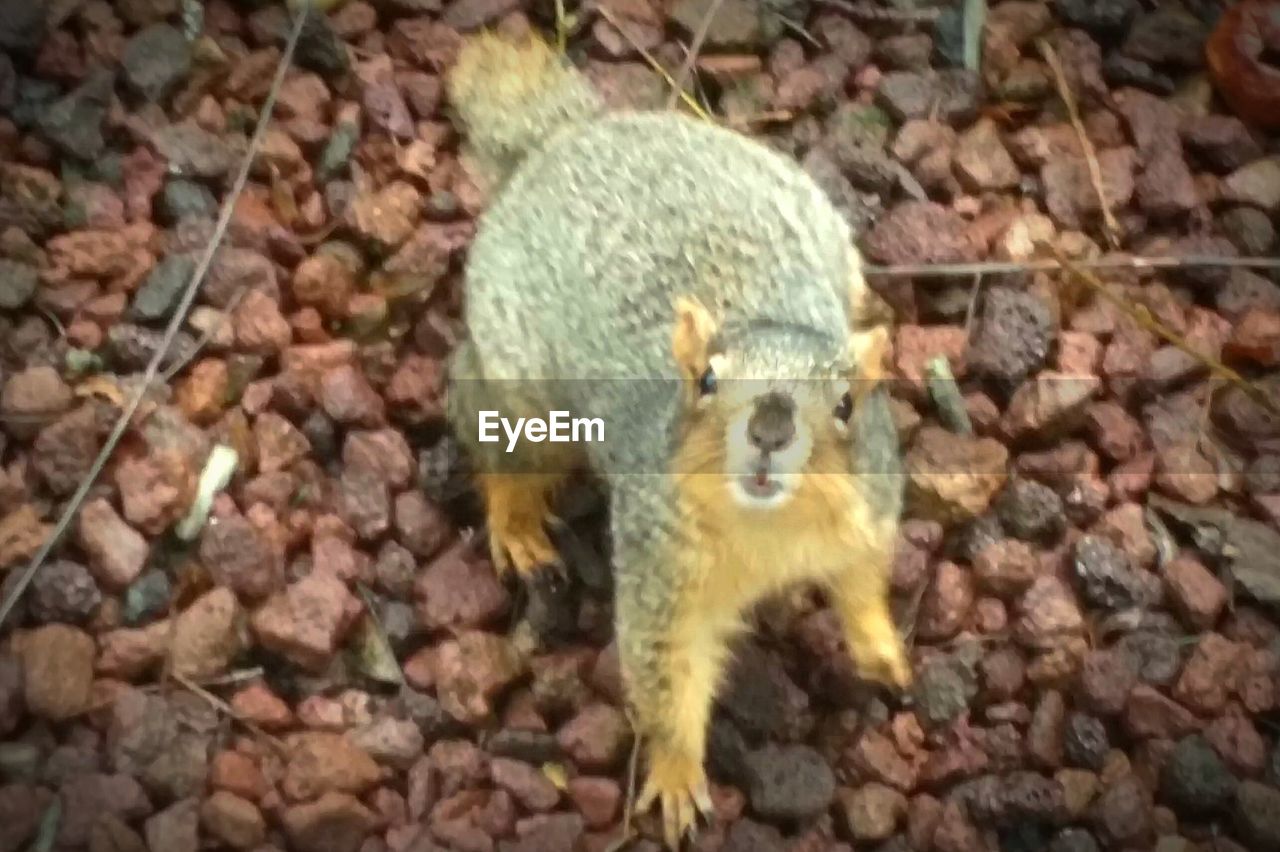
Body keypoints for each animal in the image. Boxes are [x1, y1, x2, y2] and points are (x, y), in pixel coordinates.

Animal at [445, 29, 916, 844]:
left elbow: (861, 579)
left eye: (847, 405)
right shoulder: (660, 572)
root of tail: (567, 138)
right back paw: (518, 525)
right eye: (705, 382)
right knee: (498, 441)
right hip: (524, 387)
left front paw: (879, 648)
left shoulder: (870, 508)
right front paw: (673, 778)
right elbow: (667, 673)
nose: (769, 428)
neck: (773, 530)